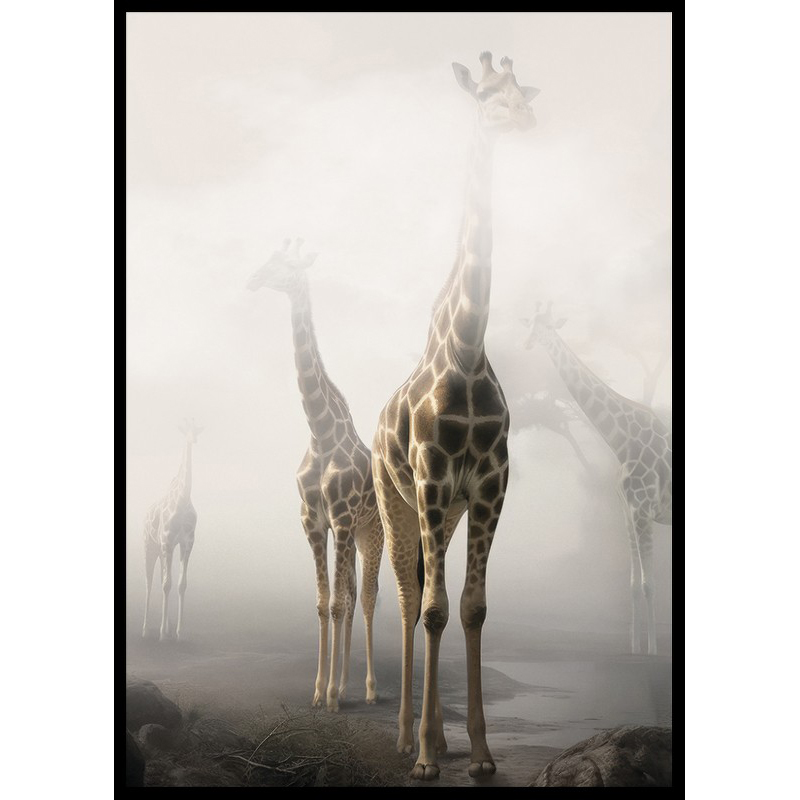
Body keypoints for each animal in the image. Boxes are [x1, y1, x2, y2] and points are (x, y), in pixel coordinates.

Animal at [142, 418, 202, 641]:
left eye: (197, 431)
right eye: (185, 431)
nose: (193, 440)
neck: (183, 499)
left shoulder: (187, 542)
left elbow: (180, 584)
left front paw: (178, 631)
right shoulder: (167, 540)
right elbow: (166, 584)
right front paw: (161, 634)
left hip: (162, 549)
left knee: (161, 578)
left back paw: (166, 626)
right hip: (150, 546)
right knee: (150, 582)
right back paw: (145, 629)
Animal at [247, 238, 384, 712]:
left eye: (287, 264)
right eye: (268, 256)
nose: (254, 278)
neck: (320, 434)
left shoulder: (340, 520)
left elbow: (340, 604)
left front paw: (331, 698)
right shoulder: (312, 522)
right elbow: (325, 604)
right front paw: (320, 691)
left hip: (372, 534)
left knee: (368, 599)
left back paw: (367, 690)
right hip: (354, 537)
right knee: (353, 595)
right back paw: (342, 685)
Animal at [523, 303, 672, 656]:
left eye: (548, 326)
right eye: (530, 323)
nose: (528, 342)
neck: (622, 440)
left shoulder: (643, 510)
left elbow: (649, 583)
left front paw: (652, 651)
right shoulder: (628, 512)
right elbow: (633, 585)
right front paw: (634, 649)